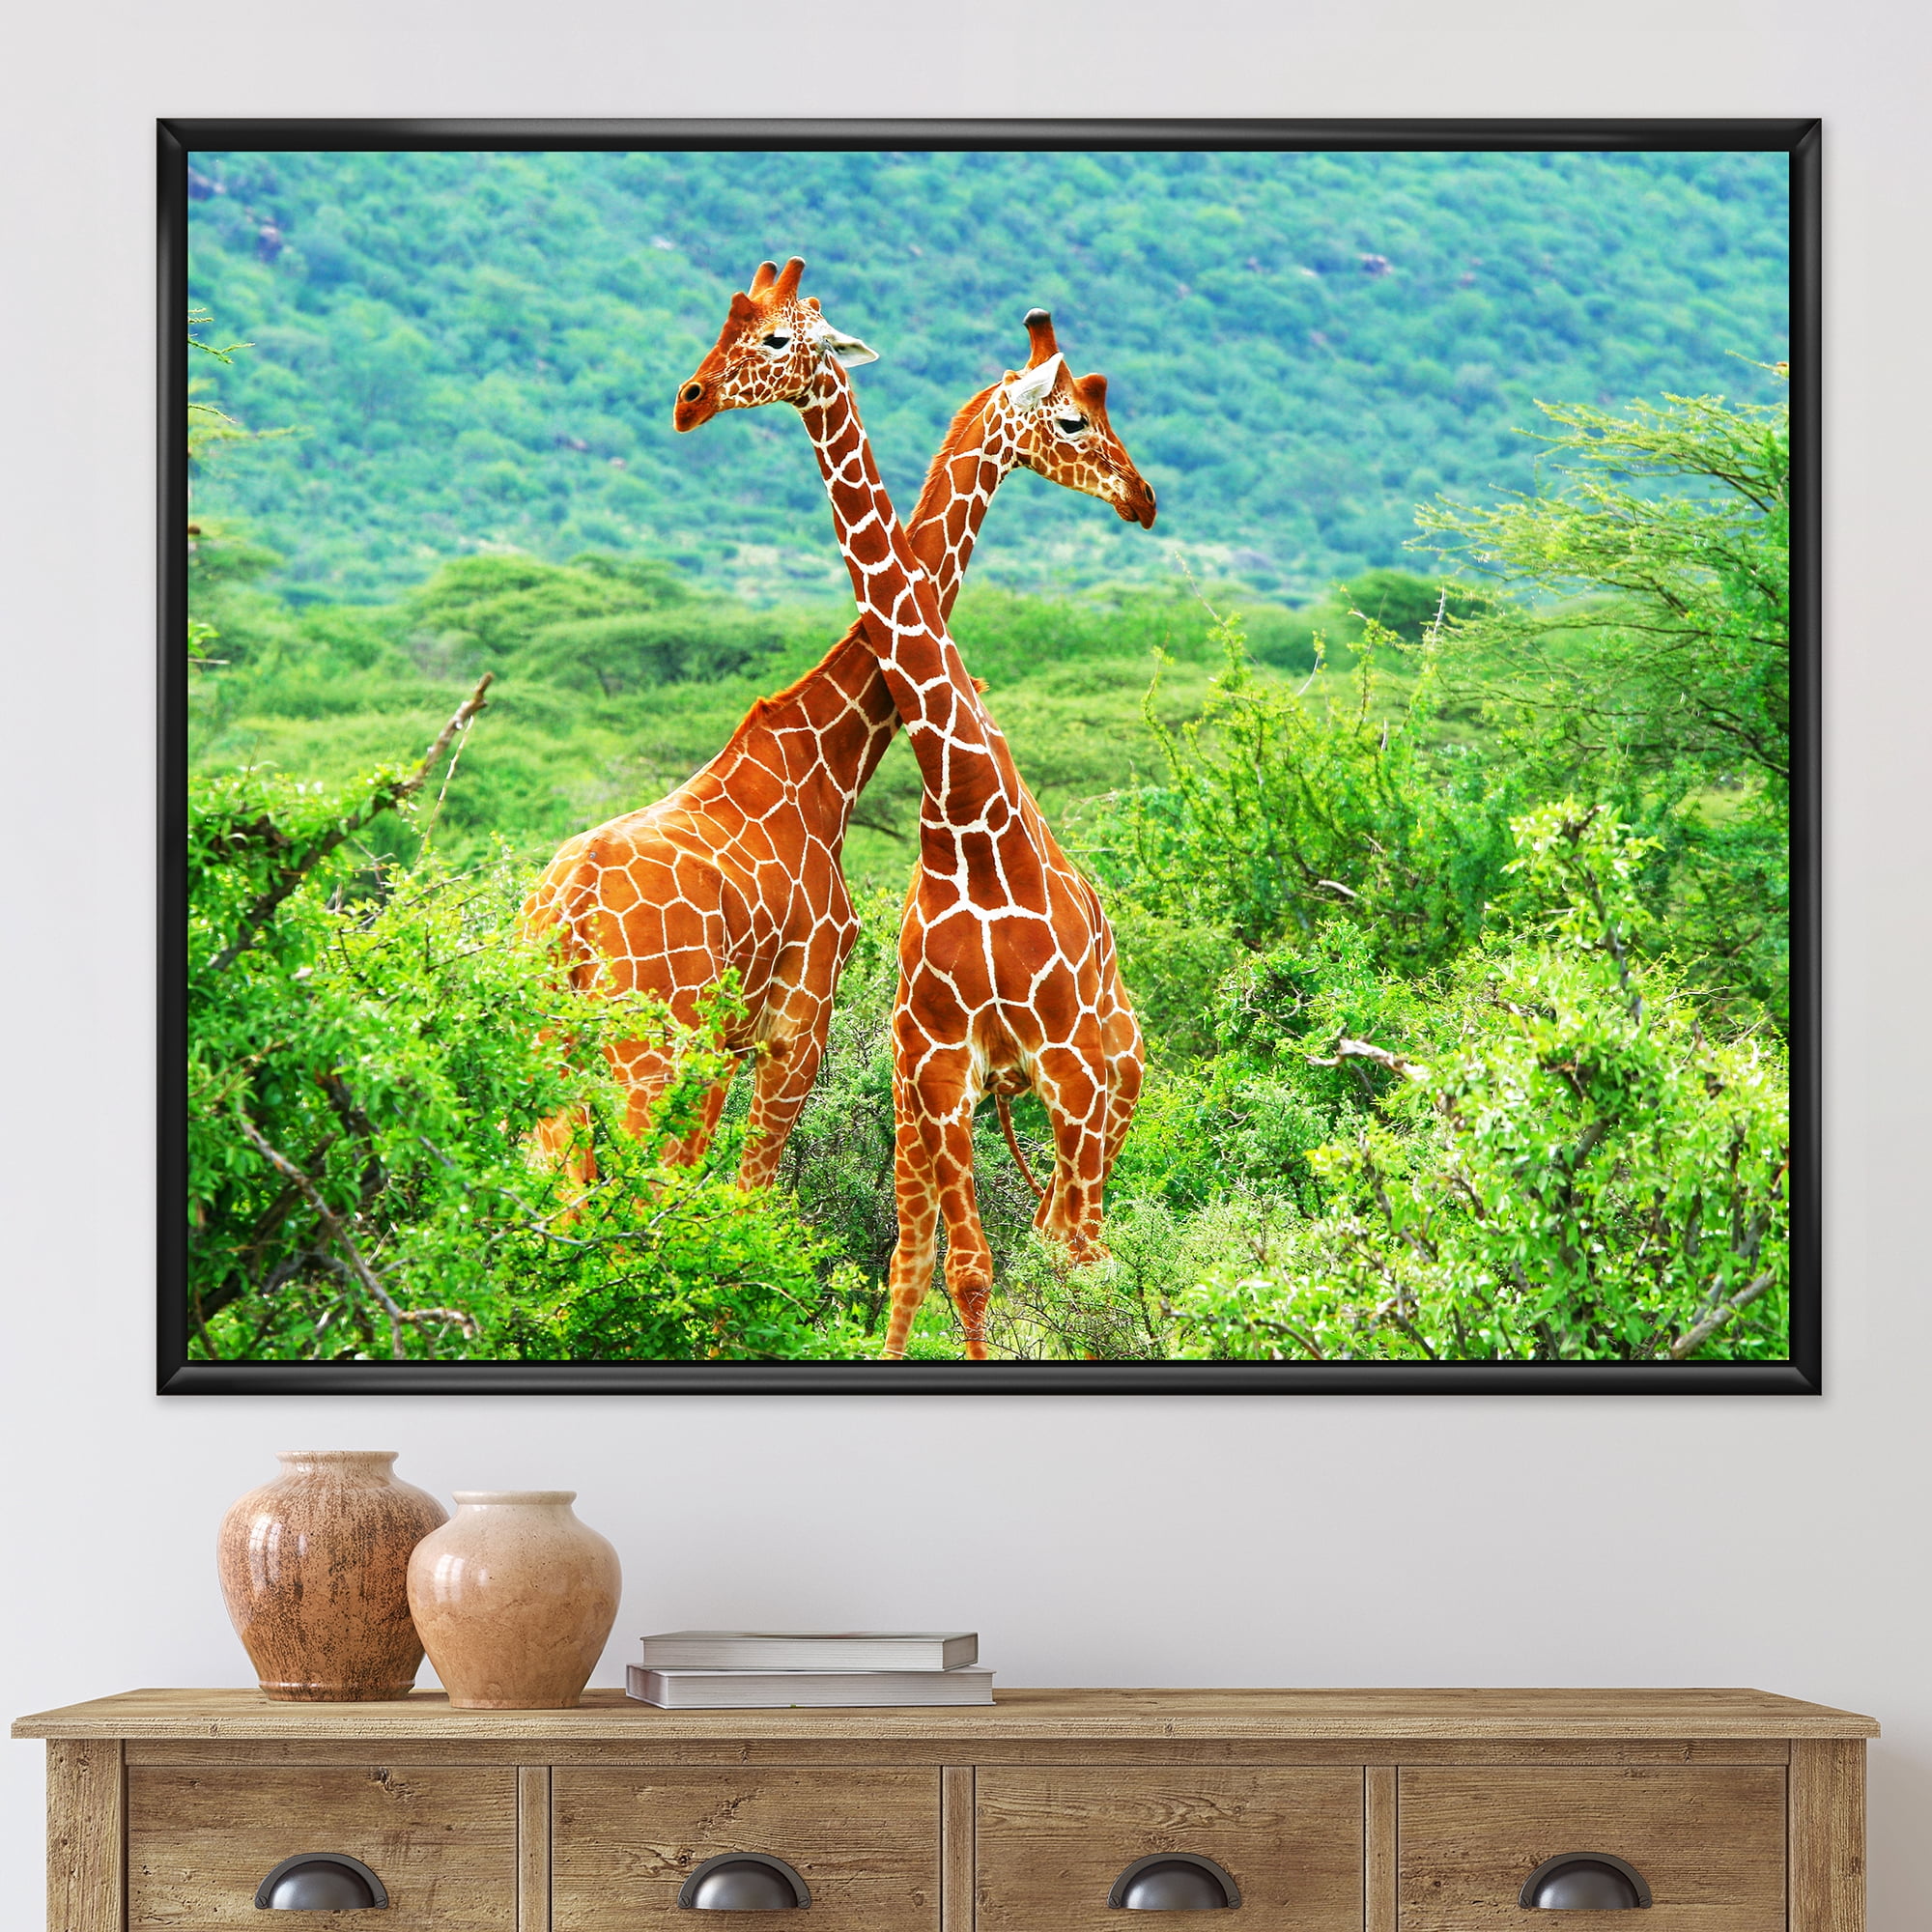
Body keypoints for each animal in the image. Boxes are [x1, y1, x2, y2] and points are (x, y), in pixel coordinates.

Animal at [524, 294, 1155, 1200]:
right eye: (1074, 418)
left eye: (765, 337)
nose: (1141, 495)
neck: (828, 764)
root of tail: (567, 913)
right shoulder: (797, 1024)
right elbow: (745, 1198)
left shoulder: (737, 1042)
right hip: (647, 1047)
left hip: (555, 1050)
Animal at [676, 257, 1152, 1361]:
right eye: (1075, 418)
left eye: (774, 337)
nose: (1143, 498)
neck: (967, 810)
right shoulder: (935, 1063)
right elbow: (957, 1266)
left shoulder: (1065, 1064)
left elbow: (1053, 1260)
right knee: (963, 1244)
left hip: (1112, 1079)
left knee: (1086, 1242)